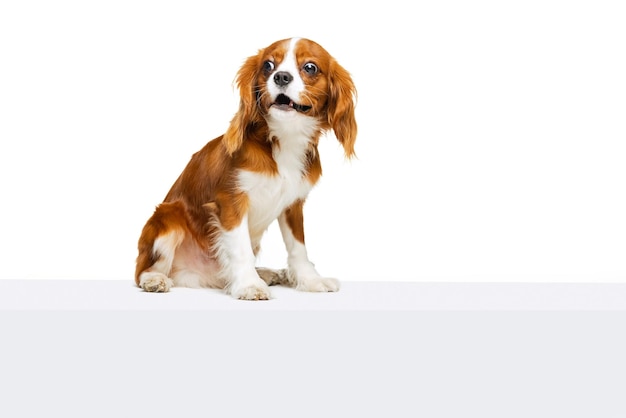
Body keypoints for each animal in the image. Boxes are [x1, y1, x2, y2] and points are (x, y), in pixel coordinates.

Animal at [133, 37, 354, 298]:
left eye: (310, 67)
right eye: (268, 65)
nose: (281, 76)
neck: (282, 139)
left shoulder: (293, 205)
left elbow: (298, 248)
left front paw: (310, 280)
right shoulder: (231, 202)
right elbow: (240, 249)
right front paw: (249, 285)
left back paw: (266, 273)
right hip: (168, 218)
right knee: (143, 270)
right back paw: (154, 280)